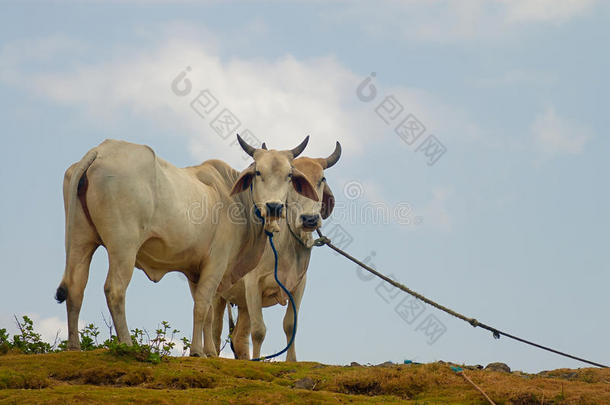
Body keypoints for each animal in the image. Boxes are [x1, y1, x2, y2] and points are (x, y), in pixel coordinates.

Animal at [55, 134, 318, 356]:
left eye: (289, 175)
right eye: (258, 173)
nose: (274, 207)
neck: (235, 199)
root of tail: (100, 151)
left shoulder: (195, 270)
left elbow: (208, 313)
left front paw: (208, 352)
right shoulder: (216, 263)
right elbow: (202, 306)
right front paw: (197, 351)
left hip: (80, 241)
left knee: (75, 288)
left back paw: (73, 347)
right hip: (124, 247)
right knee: (114, 290)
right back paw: (127, 344)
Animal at [208, 142, 342, 360]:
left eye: (321, 179)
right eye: (293, 181)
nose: (310, 219)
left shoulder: (298, 286)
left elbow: (290, 325)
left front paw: (291, 360)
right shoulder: (253, 283)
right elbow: (259, 331)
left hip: (243, 304)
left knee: (239, 337)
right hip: (219, 294)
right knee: (216, 330)